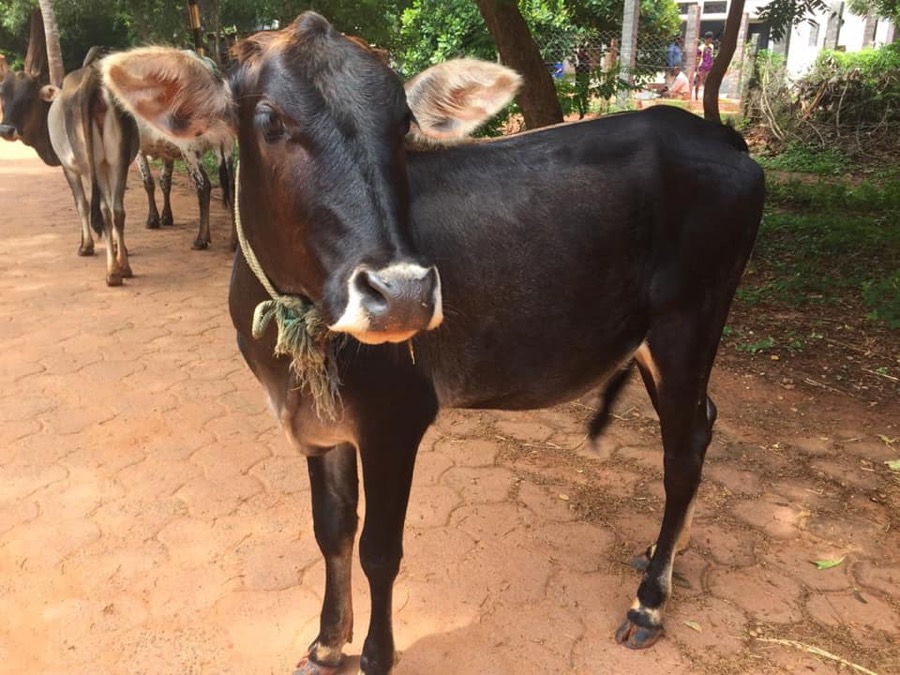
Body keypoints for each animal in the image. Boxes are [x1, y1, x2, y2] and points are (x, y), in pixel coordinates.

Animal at [1, 64, 138, 285]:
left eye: (29, 97)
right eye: (2, 93)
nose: (6, 130)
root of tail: (93, 80)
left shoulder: (69, 167)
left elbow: (81, 204)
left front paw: (86, 245)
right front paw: (121, 248)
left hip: (91, 165)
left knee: (102, 210)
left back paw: (112, 272)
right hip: (118, 161)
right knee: (116, 210)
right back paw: (123, 267)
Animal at [102, 12, 765, 674]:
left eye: (402, 123)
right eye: (269, 122)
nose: (402, 293)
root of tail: (717, 135)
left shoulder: (396, 418)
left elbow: (379, 550)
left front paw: (376, 654)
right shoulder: (318, 426)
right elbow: (331, 531)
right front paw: (327, 641)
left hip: (689, 323)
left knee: (684, 450)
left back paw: (649, 601)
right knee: (704, 421)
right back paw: (661, 552)